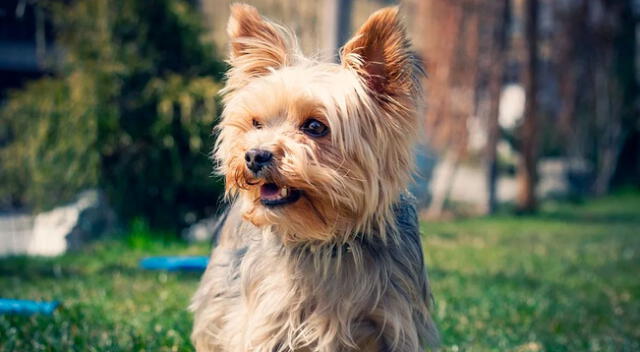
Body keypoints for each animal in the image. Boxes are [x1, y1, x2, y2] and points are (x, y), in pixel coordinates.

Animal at [189, 4, 440, 350]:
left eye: (315, 126)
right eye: (256, 123)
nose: (254, 156)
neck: (326, 242)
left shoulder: (393, 323)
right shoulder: (267, 322)